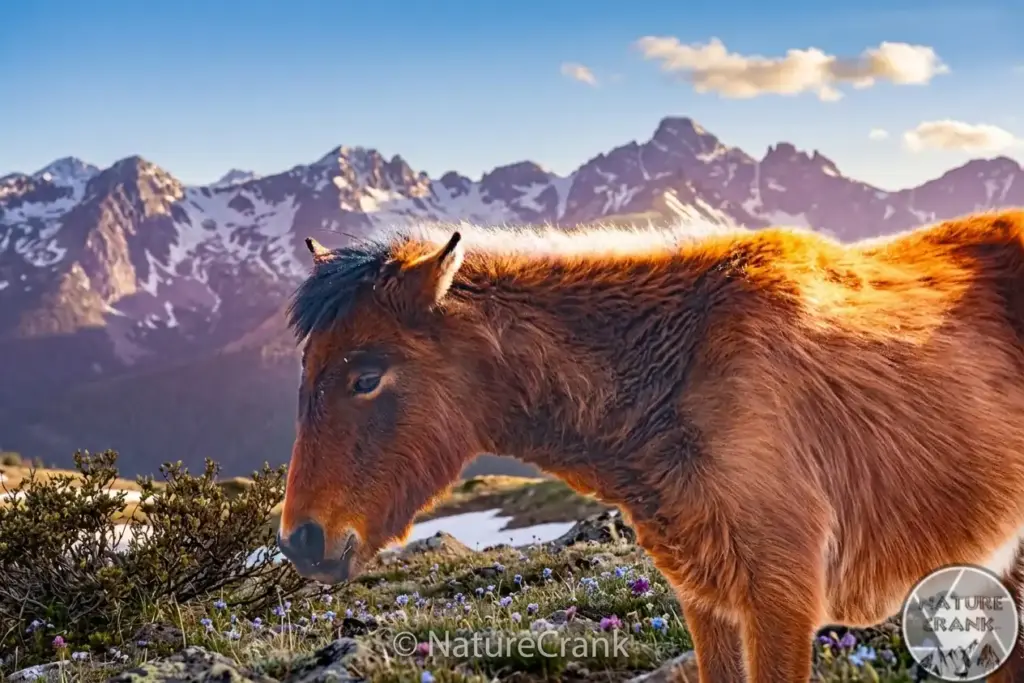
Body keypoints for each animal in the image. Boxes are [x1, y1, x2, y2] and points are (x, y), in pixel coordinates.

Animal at [277, 208, 1024, 683]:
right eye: (305, 370)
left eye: (366, 377)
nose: (303, 542)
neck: (677, 375)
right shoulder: (709, 599)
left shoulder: (781, 601)